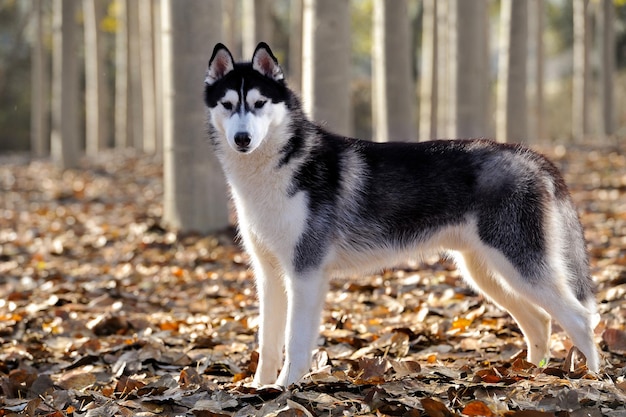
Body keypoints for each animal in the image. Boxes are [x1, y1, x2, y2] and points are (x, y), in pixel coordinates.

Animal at [202, 43, 596, 386]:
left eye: (259, 103)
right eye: (227, 104)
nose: (242, 138)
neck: (278, 169)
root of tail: (530, 155)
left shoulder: (305, 273)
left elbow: (295, 341)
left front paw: (285, 388)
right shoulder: (269, 275)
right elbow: (268, 342)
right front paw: (260, 388)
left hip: (518, 266)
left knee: (580, 319)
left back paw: (593, 378)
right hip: (488, 272)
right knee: (541, 322)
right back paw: (530, 376)